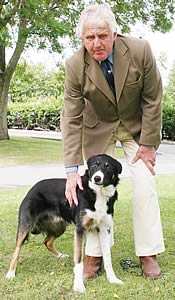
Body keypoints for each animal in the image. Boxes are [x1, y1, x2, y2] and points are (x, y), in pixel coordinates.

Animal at [5, 155, 123, 292]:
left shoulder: (105, 229)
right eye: (94, 165)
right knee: (16, 250)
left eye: (107, 166)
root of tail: (33, 187)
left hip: (59, 227)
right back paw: (11, 273)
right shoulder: (80, 229)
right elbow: (79, 260)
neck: (98, 193)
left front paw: (112, 279)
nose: (97, 178)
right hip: (25, 226)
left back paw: (60, 255)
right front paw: (78, 285)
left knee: (47, 242)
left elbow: (108, 258)